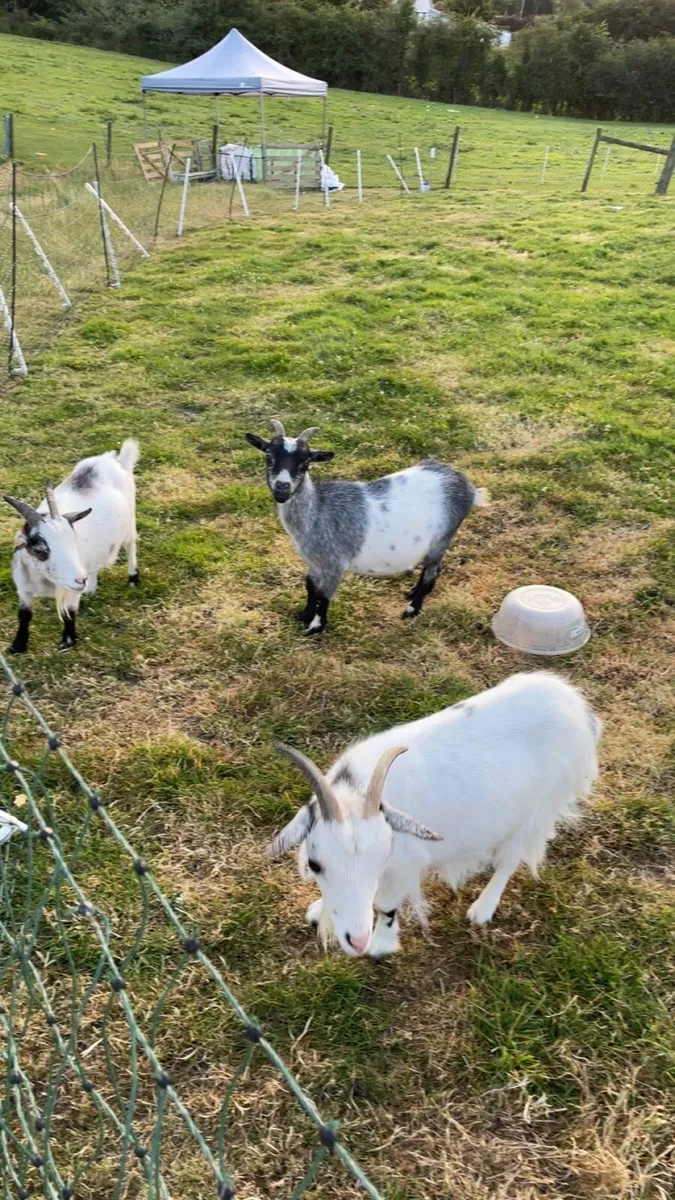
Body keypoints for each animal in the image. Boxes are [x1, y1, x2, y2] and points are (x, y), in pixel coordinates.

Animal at [4, 438, 140, 653]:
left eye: (72, 541)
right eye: (39, 550)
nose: (80, 580)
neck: (44, 581)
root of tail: (113, 460)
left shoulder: (71, 590)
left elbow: (69, 612)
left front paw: (67, 642)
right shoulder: (24, 589)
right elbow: (24, 615)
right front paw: (17, 646)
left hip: (129, 526)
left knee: (131, 547)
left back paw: (133, 579)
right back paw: (91, 588)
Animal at [245, 419, 489, 634]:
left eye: (305, 462)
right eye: (269, 455)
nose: (282, 487)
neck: (318, 511)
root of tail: (468, 487)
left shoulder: (335, 562)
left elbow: (324, 596)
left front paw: (316, 627)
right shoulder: (314, 562)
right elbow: (310, 587)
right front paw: (304, 615)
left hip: (442, 537)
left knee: (431, 571)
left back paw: (412, 609)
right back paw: (412, 593)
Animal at [268, 671, 602, 957]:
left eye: (380, 860)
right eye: (315, 864)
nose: (357, 941)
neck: (355, 792)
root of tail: (575, 705)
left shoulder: (404, 864)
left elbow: (385, 905)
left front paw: (381, 945)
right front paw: (318, 909)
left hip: (535, 812)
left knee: (510, 860)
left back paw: (482, 910)